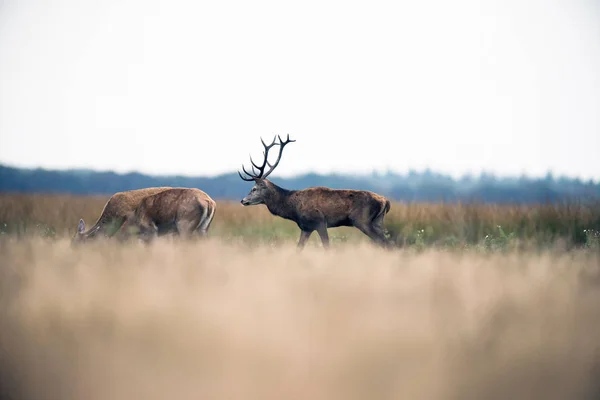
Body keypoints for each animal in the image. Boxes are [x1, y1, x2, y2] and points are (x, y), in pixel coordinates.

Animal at [237, 136, 396, 248]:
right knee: (388, 243)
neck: (292, 207)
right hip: (378, 221)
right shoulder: (306, 227)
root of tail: (386, 201)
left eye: (254, 188)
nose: (243, 200)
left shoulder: (319, 221)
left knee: (385, 243)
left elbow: (327, 247)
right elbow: (298, 248)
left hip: (362, 220)